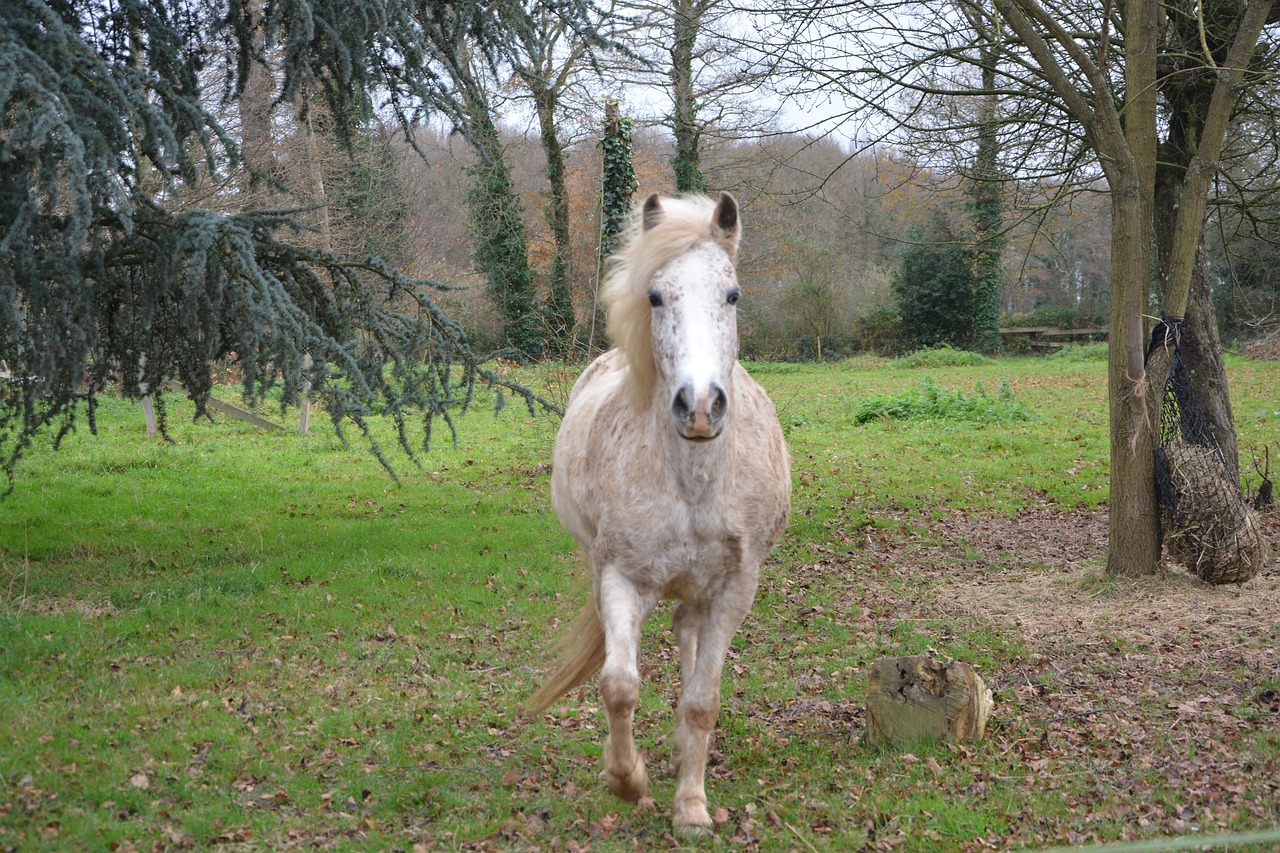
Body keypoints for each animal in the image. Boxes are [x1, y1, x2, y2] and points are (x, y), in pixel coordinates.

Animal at [529, 190, 788, 829]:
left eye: (732, 294)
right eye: (654, 296)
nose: (698, 406)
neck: (693, 486)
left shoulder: (733, 591)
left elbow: (702, 701)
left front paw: (691, 806)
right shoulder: (621, 579)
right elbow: (619, 685)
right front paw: (626, 778)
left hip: (700, 591)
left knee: (688, 642)